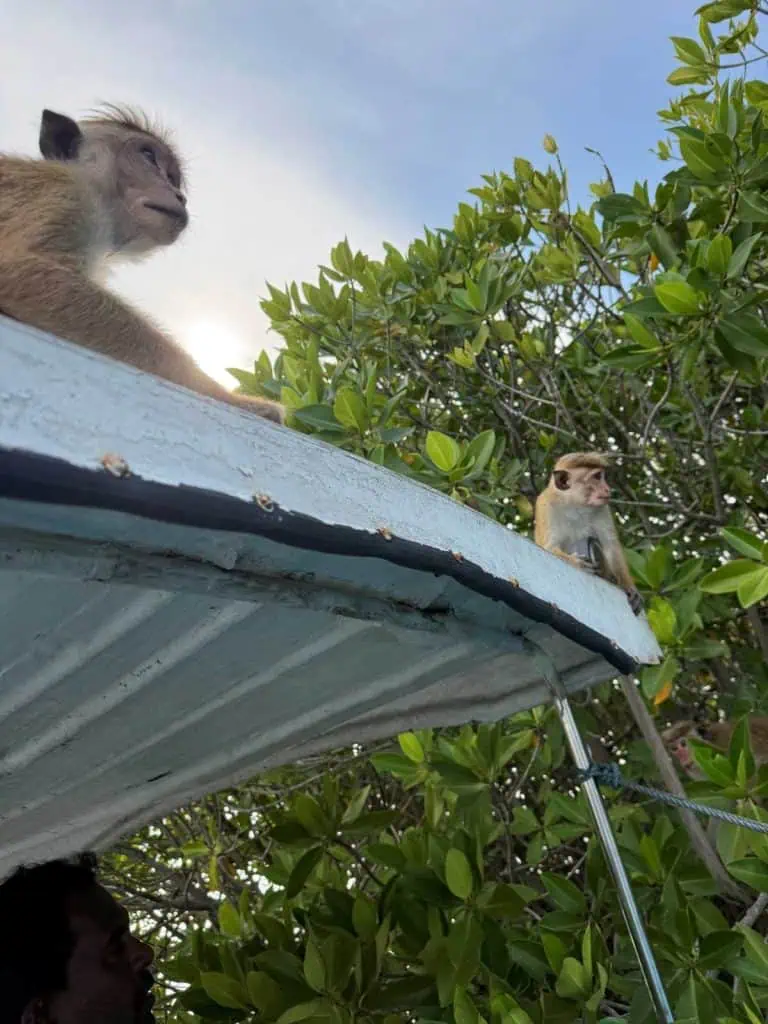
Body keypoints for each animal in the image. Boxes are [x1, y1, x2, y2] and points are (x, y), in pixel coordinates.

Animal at [0, 105, 284, 424]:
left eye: (172, 177)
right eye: (148, 156)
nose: (180, 196)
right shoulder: (65, 196)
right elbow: (20, 271)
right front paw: (227, 396)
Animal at [533, 451, 642, 615]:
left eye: (602, 476)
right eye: (597, 477)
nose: (607, 489)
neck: (575, 504)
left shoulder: (602, 509)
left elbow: (611, 546)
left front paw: (629, 587)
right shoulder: (546, 507)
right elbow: (549, 547)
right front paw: (576, 562)